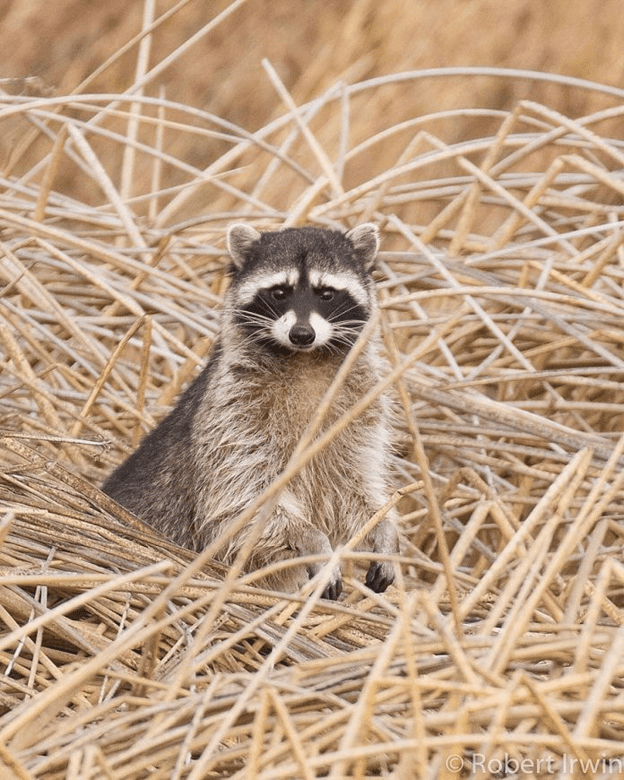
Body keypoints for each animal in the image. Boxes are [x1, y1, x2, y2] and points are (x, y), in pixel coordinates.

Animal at [100, 222, 398, 600]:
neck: (305, 359)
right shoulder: (231, 413)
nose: (302, 333)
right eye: (280, 292)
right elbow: (244, 499)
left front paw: (384, 529)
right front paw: (313, 540)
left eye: (326, 293)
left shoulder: (359, 411)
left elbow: (356, 485)